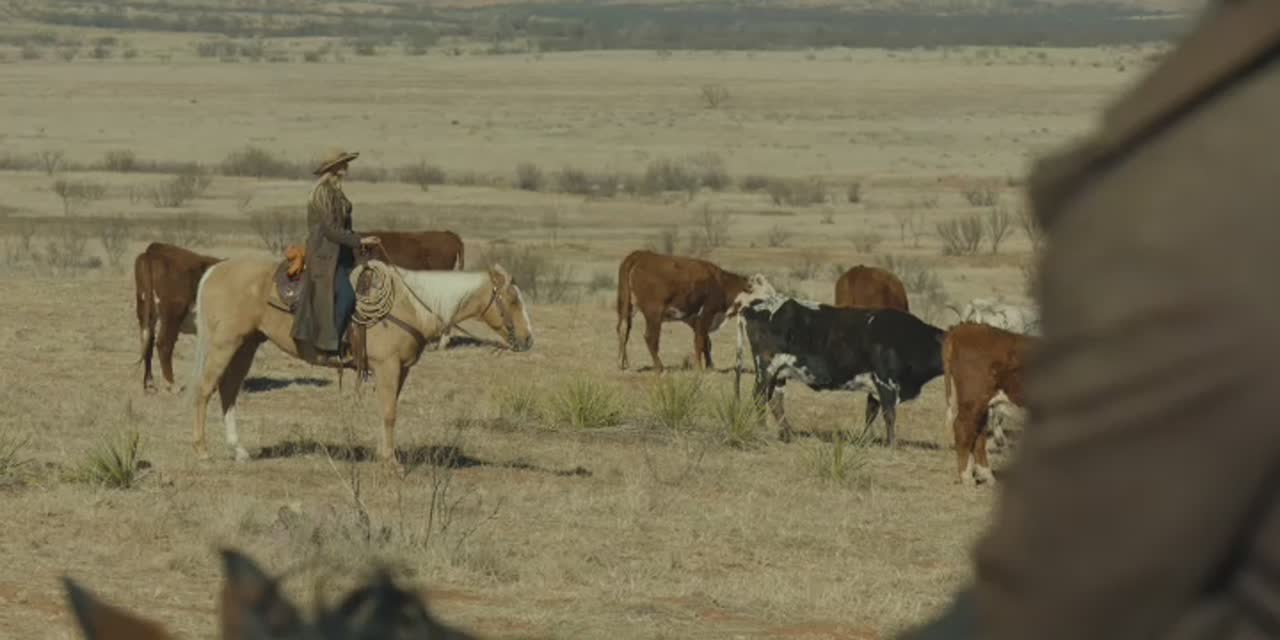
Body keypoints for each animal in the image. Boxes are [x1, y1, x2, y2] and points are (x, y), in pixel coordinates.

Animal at [134, 242, 223, 393]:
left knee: (147, 341)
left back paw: (150, 383)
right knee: (164, 344)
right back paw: (172, 384)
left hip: (146, 309)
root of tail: (152, 251)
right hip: (173, 314)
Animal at [190, 257, 534, 464]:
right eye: (512, 300)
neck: (410, 305)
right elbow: (390, 413)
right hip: (224, 344)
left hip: (245, 346)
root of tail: (215, 270)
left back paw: (238, 450)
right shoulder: (387, 366)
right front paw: (391, 463)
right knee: (205, 389)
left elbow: (388, 411)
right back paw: (202, 450)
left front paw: (385, 456)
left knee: (228, 391)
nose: (529, 339)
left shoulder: (400, 370)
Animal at [616, 249, 752, 373]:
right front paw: (700, 367)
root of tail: (640, 255)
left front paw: (709, 365)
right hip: (654, 314)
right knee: (650, 338)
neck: (722, 283)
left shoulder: (695, 320)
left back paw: (622, 364)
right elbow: (700, 342)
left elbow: (706, 342)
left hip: (627, 308)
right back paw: (660, 367)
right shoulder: (706, 314)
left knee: (623, 329)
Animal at [733, 274, 946, 446]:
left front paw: (865, 440)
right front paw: (892, 445)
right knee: (759, 397)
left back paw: (787, 434)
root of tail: (753, 306)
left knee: (776, 401)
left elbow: (871, 413)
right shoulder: (885, 383)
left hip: (780, 372)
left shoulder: (874, 387)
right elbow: (889, 415)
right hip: (765, 367)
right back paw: (763, 431)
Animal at [942, 321, 1038, 486]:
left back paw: (987, 476)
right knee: (963, 428)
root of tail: (963, 328)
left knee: (978, 435)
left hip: (983, 405)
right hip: (973, 400)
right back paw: (966, 477)